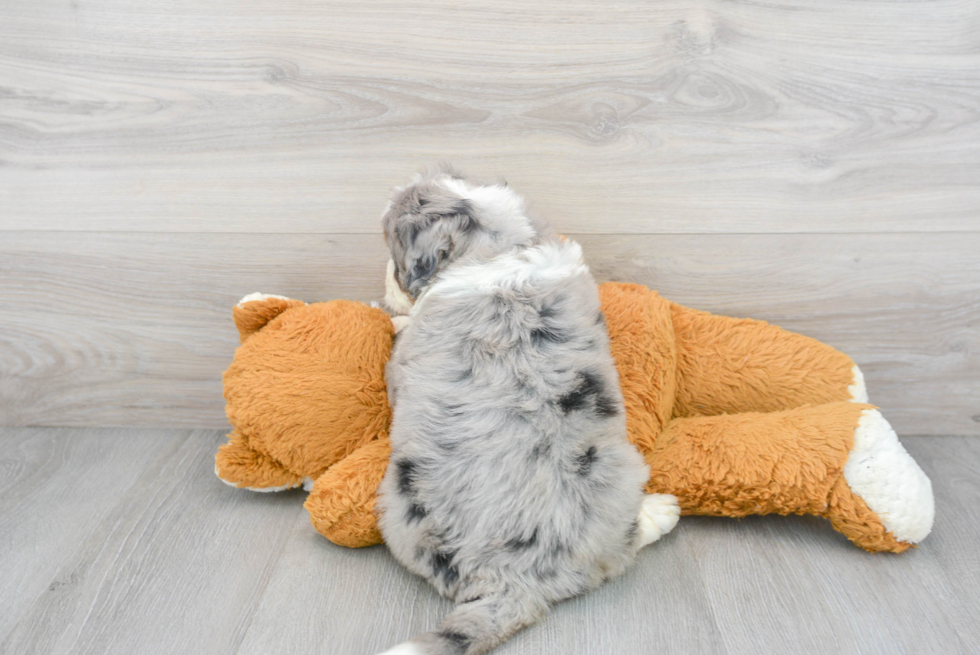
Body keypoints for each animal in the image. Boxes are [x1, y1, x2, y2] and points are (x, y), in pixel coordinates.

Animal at [372, 165, 676, 655]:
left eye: (393, 248)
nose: (388, 281)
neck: (500, 247)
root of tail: (516, 583)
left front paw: (395, 317)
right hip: (622, 472)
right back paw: (661, 512)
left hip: (398, 509)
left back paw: (662, 510)